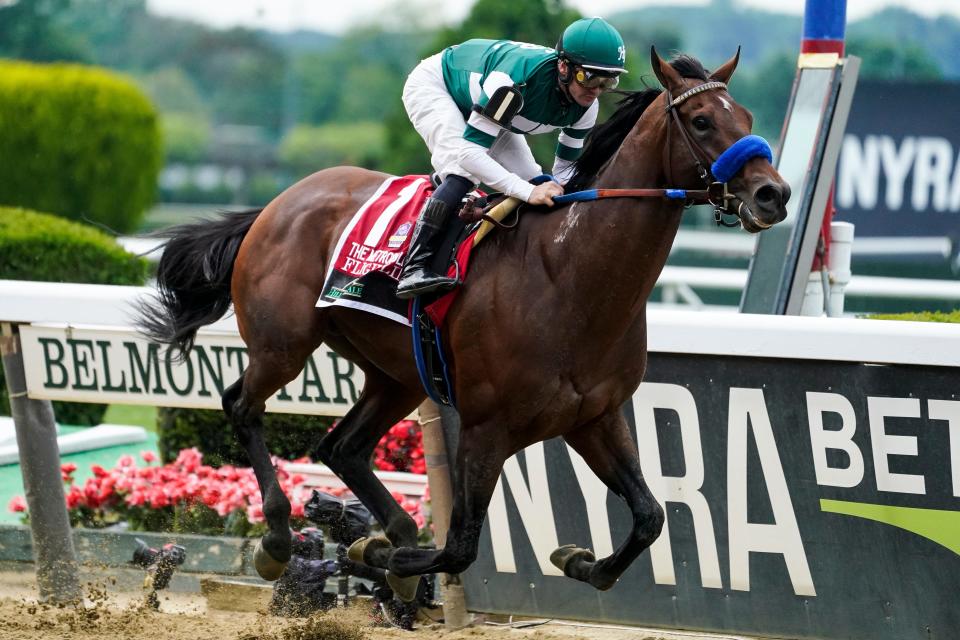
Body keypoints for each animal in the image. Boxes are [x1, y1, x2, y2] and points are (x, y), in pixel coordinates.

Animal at [139, 48, 792, 596]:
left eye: (748, 114)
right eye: (702, 121)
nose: (773, 194)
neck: (569, 278)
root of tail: (274, 205)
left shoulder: (595, 416)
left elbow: (650, 516)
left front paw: (580, 561)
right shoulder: (485, 426)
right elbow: (459, 547)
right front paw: (378, 555)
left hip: (397, 374)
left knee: (342, 446)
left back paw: (392, 530)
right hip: (284, 345)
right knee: (242, 405)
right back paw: (280, 537)